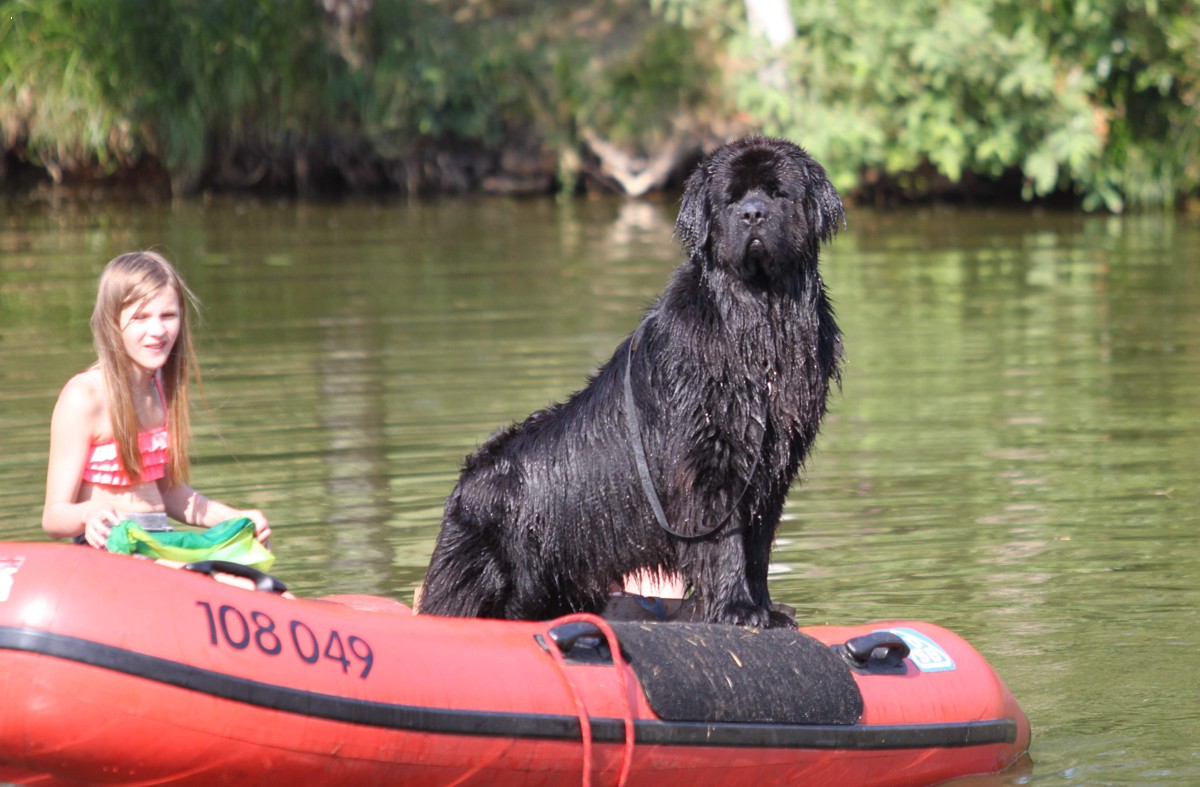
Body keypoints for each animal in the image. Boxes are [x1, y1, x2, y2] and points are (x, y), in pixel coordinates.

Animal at [418, 136, 844, 627]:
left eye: (778, 194)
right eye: (731, 199)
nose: (753, 214)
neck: (758, 319)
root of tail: (462, 488)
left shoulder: (771, 467)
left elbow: (757, 545)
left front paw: (766, 611)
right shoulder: (708, 460)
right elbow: (724, 543)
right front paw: (737, 609)